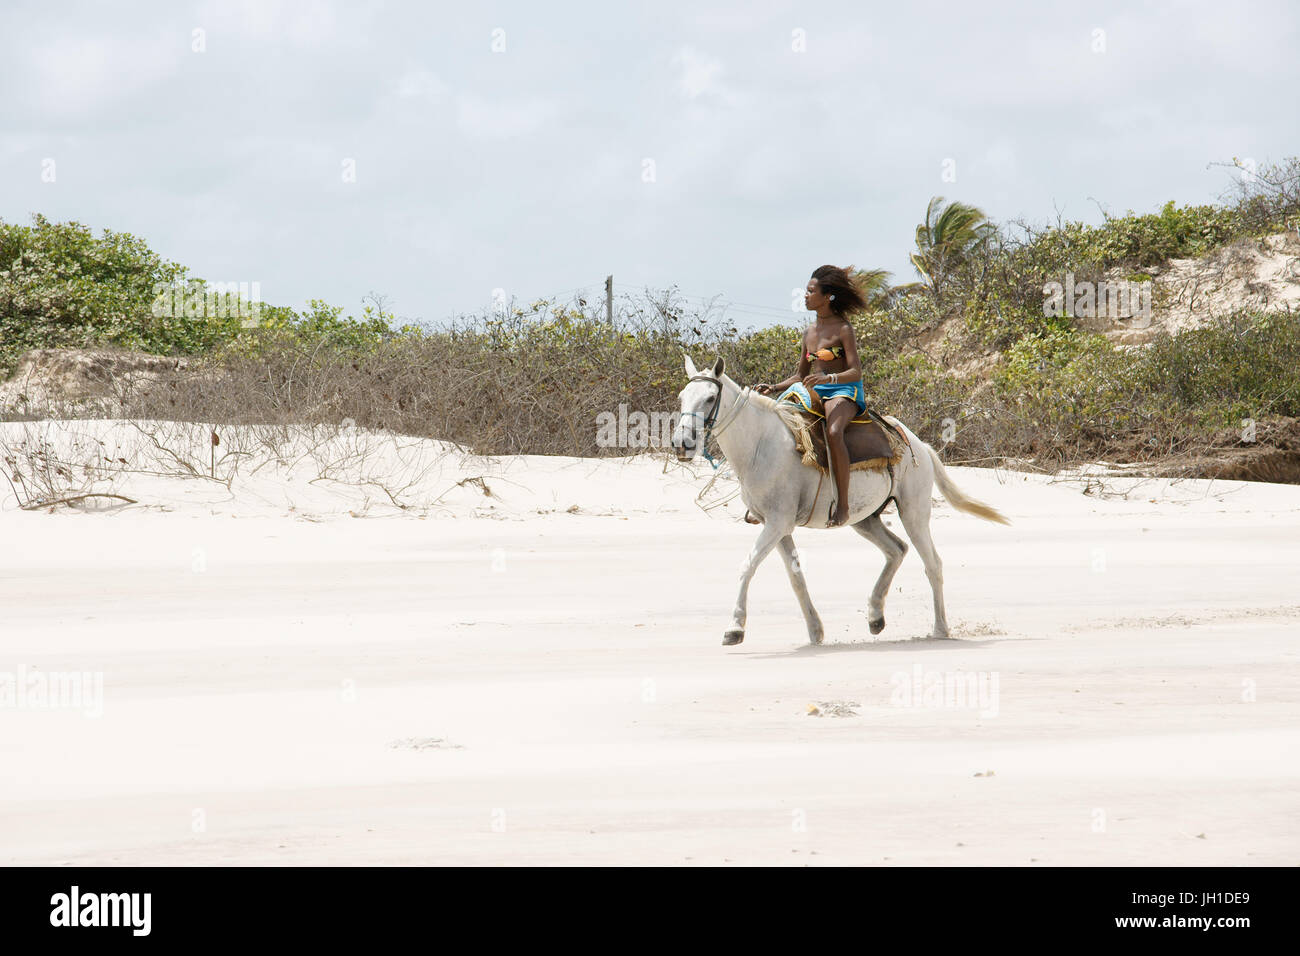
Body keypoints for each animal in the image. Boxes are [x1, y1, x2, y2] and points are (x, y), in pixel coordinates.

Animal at [676, 356, 1008, 647]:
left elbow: (747, 566)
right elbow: (796, 578)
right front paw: (815, 631)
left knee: (932, 564)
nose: (682, 444)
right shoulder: (778, 526)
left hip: (914, 512)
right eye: (682, 397)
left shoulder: (777, 523)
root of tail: (921, 446)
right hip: (864, 519)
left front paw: (734, 628)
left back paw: (939, 629)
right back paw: (875, 615)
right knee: (896, 550)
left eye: (709, 398)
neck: (760, 445)